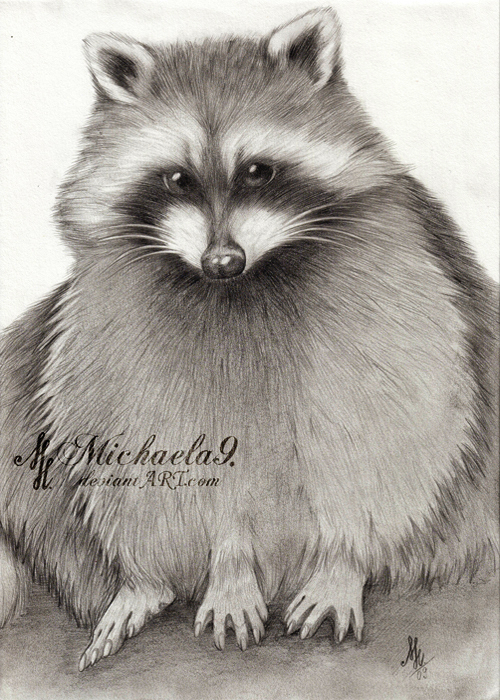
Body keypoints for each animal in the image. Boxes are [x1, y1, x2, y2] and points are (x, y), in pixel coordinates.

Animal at [0, 8, 498, 671]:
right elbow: (176, 458)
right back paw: (144, 583)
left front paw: (343, 563)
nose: (222, 261)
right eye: (177, 178)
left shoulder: (400, 299)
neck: (243, 288)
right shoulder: (117, 321)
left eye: (258, 170)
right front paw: (230, 566)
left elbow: (384, 442)